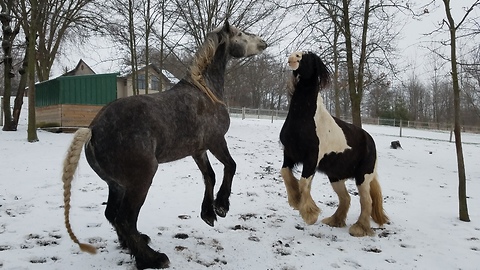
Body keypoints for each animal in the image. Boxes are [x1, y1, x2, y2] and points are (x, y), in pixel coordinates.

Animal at [61, 21, 266, 270]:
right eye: (240, 34)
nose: (263, 43)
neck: (205, 91)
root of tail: (93, 130)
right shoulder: (216, 141)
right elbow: (231, 166)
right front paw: (221, 206)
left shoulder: (198, 150)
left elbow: (209, 176)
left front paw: (208, 214)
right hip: (141, 180)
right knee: (125, 219)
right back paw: (152, 258)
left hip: (117, 185)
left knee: (112, 215)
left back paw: (134, 246)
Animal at [280, 50, 388, 236]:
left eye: (308, 57)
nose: (293, 57)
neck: (304, 120)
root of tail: (370, 140)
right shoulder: (289, 154)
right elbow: (286, 174)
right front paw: (295, 201)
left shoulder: (311, 159)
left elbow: (303, 183)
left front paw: (310, 214)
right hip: (336, 176)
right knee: (346, 198)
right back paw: (335, 221)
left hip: (362, 177)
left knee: (366, 201)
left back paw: (359, 228)